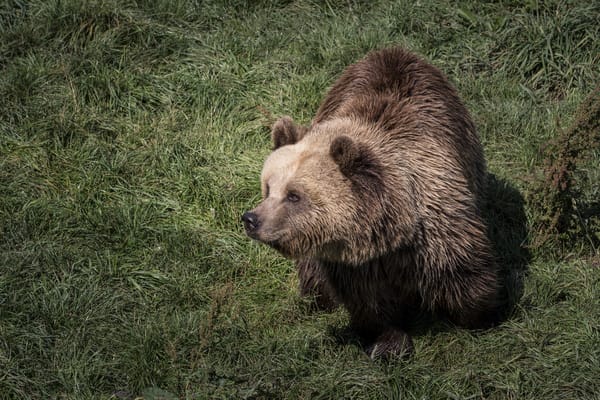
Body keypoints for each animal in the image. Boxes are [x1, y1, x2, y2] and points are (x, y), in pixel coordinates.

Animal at [241, 47, 500, 360]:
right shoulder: (350, 261)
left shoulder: (436, 225)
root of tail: (394, 50)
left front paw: (480, 314)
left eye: (294, 195)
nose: (251, 219)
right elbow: (370, 303)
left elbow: (462, 271)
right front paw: (388, 343)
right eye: (269, 188)